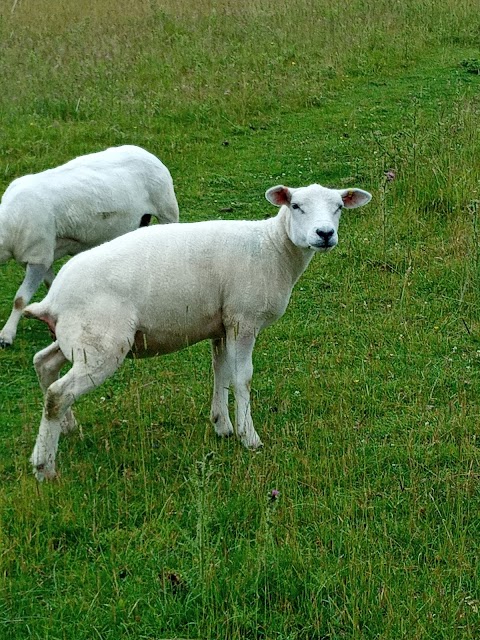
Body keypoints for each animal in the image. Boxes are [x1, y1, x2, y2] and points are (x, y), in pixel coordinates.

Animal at [0, 145, 179, 348]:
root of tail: (145, 152)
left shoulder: (39, 256)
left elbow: (20, 299)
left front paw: (6, 336)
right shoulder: (43, 256)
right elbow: (52, 285)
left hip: (167, 210)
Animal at [25, 181, 372, 480]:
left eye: (339, 207)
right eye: (296, 206)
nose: (325, 234)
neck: (272, 249)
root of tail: (53, 298)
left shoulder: (221, 325)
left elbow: (221, 372)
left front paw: (222, 425)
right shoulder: (243, 320)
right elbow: (242, 377)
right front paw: (249, 437)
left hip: (81, 338)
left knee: (44, 364)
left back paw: (65, 429)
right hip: (102, 345)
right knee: (57, 394)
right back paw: (45, 467)